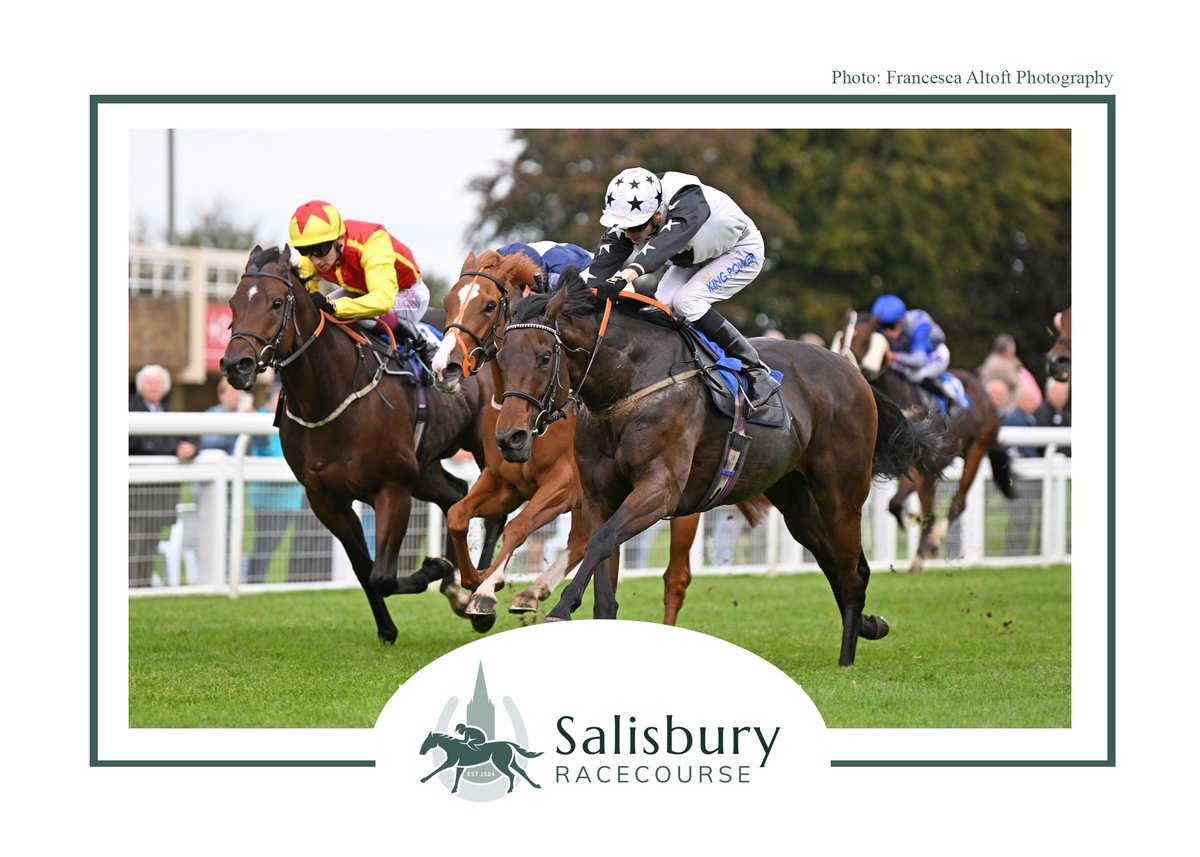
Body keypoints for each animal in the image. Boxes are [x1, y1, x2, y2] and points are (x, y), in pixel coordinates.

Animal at [835, 309, 1012, 571]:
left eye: (865, 339)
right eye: (842, 335)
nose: (843, 360)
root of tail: (984, 393)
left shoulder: (914, 467)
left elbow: (897, 503)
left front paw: (912, 522)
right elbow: (894, 504)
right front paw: (911, 520)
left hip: (976, 450)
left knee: (958, 502)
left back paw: (930, 544)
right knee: (931, 502)